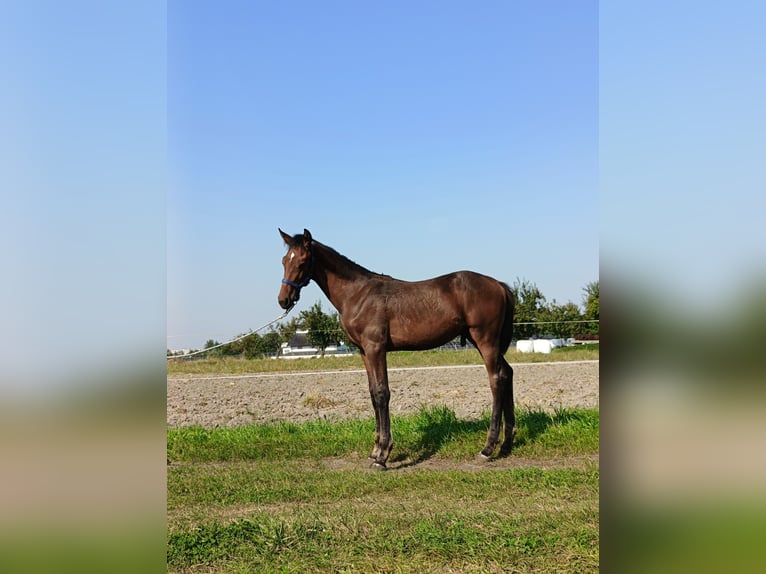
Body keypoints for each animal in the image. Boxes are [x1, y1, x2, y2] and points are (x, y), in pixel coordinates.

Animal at [276, 227, 516, 470]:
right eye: (284, 260)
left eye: (302, 262)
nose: (283, 300)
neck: (358, 294)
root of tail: (499, 285)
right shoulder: (364, 352)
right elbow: (373, 393)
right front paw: (374, 451)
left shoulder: (376, 348)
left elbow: (382, 393)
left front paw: (383, 455)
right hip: (486, 343)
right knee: (507, 374)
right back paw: (506, 444)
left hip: (485, 340)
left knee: (496, 380)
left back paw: (488, 448)